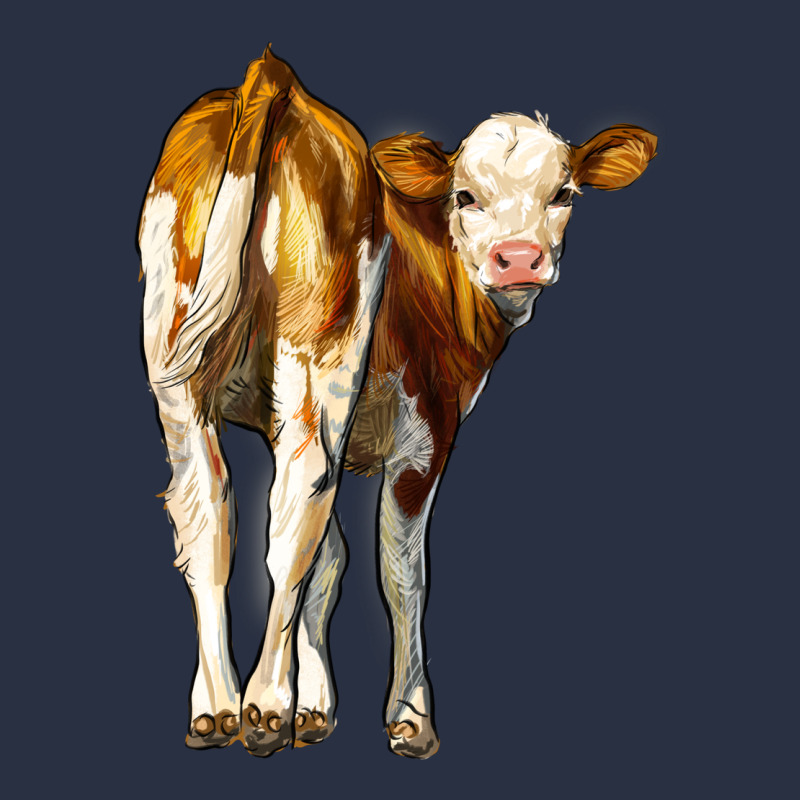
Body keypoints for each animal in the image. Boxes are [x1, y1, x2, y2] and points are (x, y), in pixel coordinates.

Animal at [138, 47, 656, 759]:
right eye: (465, 195)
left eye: (564, 193)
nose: (518, 259)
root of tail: (276, 80)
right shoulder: (426, 432)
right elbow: (400, 572)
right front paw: (408, 717)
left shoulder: (287, 420)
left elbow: (328, 563)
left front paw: (315, 710)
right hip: (320, 361)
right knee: (293, 514)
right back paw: (263, 706)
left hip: (177, 370)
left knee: (209, 512)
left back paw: (217, 706)